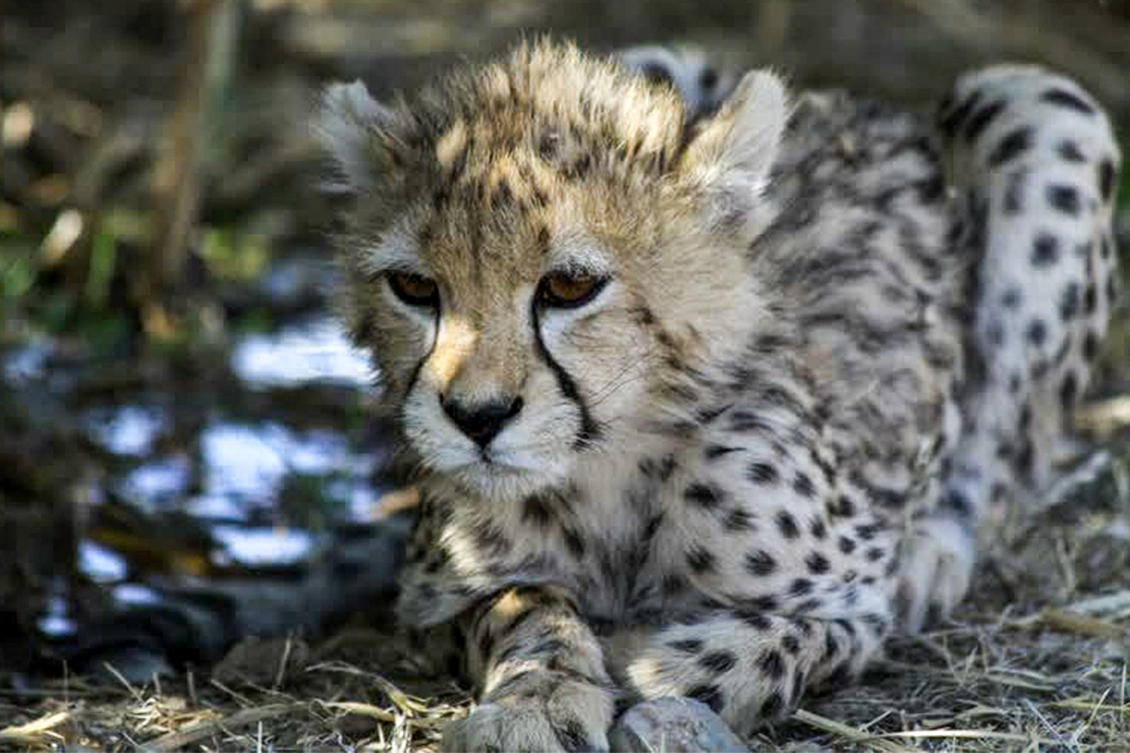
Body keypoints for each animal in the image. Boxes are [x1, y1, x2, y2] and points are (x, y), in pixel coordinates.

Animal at [315, 39, 1121, 751]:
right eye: (414, 287)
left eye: (569, 285)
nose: (475, 417)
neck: (607, 466)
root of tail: (860, 103)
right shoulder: (431, 597)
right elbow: (521, 604)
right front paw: (537, 698)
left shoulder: (856, 599)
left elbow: (783, 640)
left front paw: (651, 664)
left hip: (1043, 106)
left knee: (1001, 467)